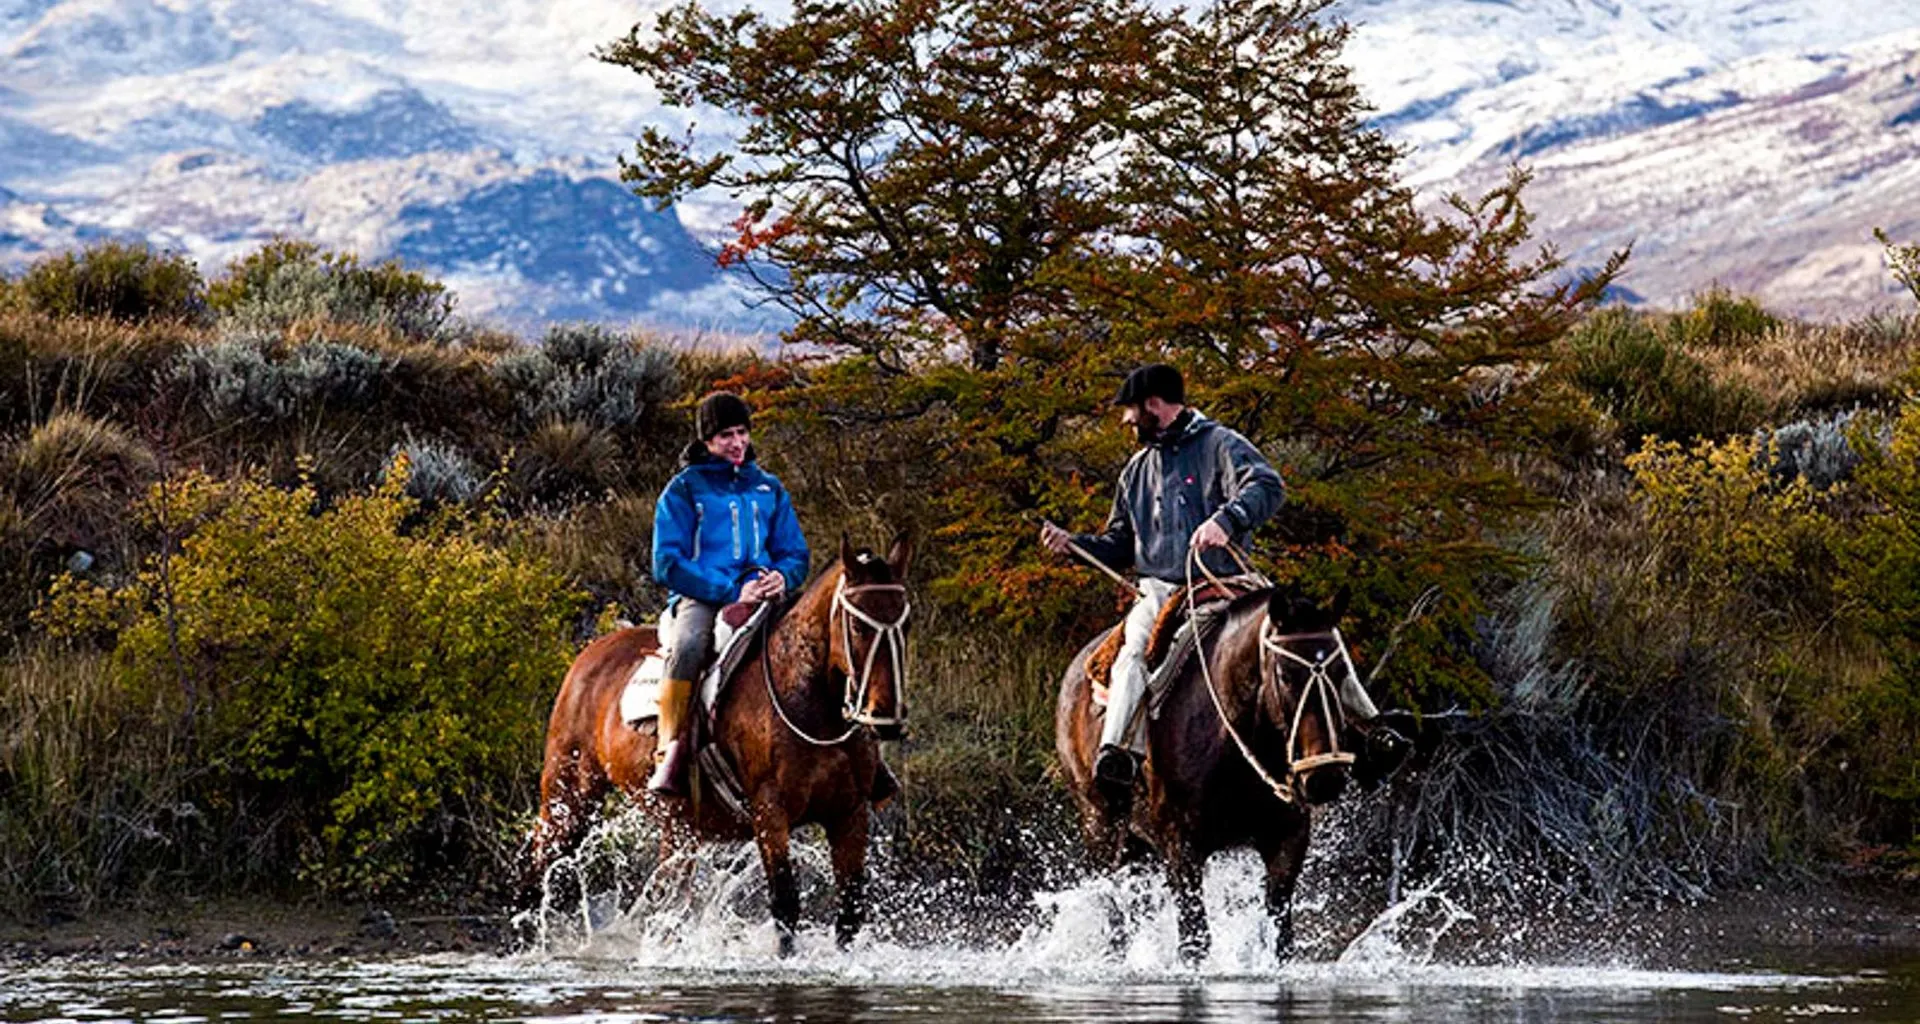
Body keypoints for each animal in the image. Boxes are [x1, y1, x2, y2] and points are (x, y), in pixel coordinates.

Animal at [528, 533, 913, 954]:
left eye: (906, 623)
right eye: (858, 625)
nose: (885, 714)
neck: (811, 706)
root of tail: (589, 654)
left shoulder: (850, 813)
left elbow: (849, 912)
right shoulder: (769, 811)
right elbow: (785, 904)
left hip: (679, 826)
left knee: (666, 897)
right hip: (568, 798)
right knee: (541, 861)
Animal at [1056, 579, 1357, 964]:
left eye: (1342, 672)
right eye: (1286, 675)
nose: (1324, 778)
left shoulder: (1288, 838)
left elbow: (1281, 937)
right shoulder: (1181, 845)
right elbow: (1194, 940)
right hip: (1100, 824)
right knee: (1113, 911)